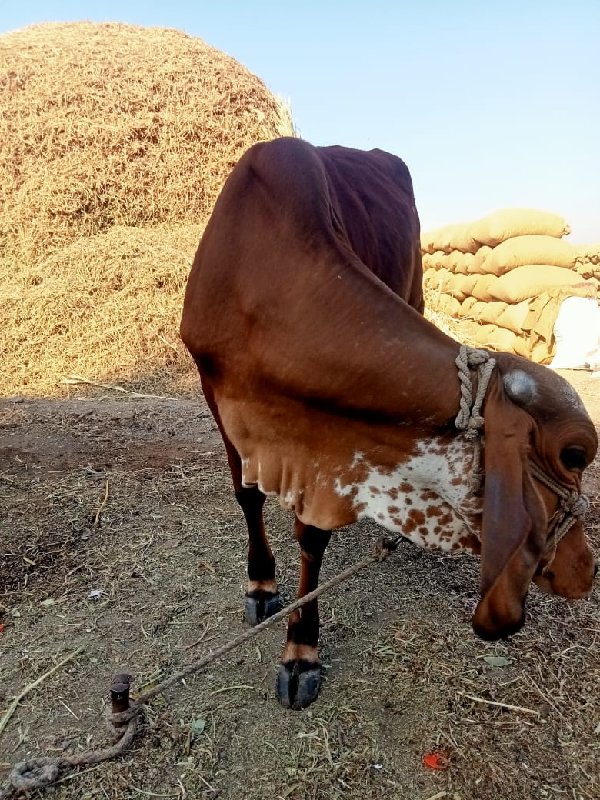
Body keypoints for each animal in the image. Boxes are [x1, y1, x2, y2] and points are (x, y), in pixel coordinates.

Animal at [180, 136, 596, 708]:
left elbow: (310, 535)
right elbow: (247, 496)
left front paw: (300, 650)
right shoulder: (217, 396)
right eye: (574, 454)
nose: (588, 568)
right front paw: (262, 585)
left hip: (412, 288)